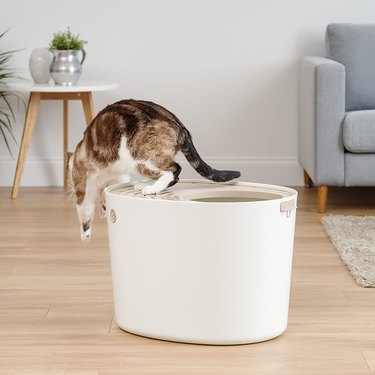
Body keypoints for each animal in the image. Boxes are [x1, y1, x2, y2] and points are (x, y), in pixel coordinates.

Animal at [67, 100, 241, 241]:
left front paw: (85, 235)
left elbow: (84, 209)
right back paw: (144, 185)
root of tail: (178, 125)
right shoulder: (119, 176)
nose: (69, 186)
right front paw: (103, 208)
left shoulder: (83, 183)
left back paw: (150, 189)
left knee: (174, 170)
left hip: (140, 159)